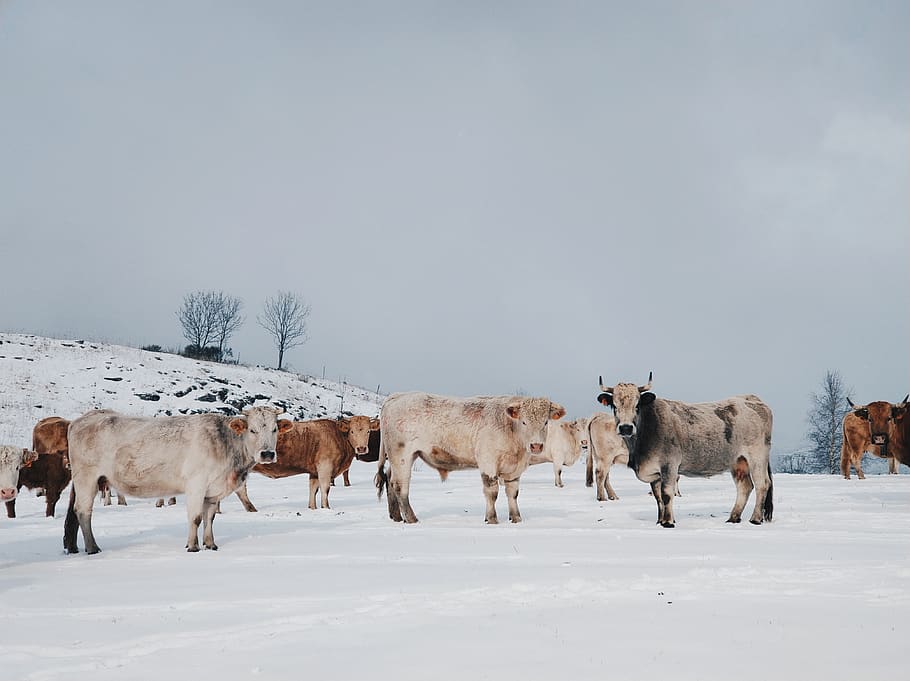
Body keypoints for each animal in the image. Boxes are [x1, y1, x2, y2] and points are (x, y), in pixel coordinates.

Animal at [64, 404, 292, 552]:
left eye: (275, 429)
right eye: (252, 430)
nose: (267, 454)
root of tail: (81, 420)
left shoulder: (212, 491)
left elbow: (210, 518)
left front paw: (210, 544)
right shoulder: (196, 484)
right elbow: (196, 517)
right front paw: (193, 546)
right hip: (87, 478)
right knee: (83, 511)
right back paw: (93, 547)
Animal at [235, 414, 382, 510]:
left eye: (368, 431)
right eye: (352, 431)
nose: (361, 448)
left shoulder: (314, 472)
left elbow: (313, 490)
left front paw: (312, 508)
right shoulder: (325, 467)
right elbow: (325, 488)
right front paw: (326, 508)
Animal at [376, 390, 564, 524]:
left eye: (545, 422)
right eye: (524, 422)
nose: (536, 446)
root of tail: (397, 396)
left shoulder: (514, 470)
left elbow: (513, 493)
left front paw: (516, 518)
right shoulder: (488, 462)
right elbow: (492, 492)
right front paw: (492, 519)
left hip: (400, 458)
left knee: (390, 480)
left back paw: (397, 517)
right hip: (402, 455)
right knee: (400, 486)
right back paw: (411, 519)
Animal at [600, 372, 776, 524]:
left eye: (637, 405)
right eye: (614, 406)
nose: (626, 428)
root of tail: (750, 399)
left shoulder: (669, 465)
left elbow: (666, 494)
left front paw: (668, 522)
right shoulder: (655, 473)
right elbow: (658, 497)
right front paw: (659, 521)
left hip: (757, 457)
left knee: (762, 484)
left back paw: (755, 519)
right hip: (738, 461)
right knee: (745, 486)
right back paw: (733, 518)